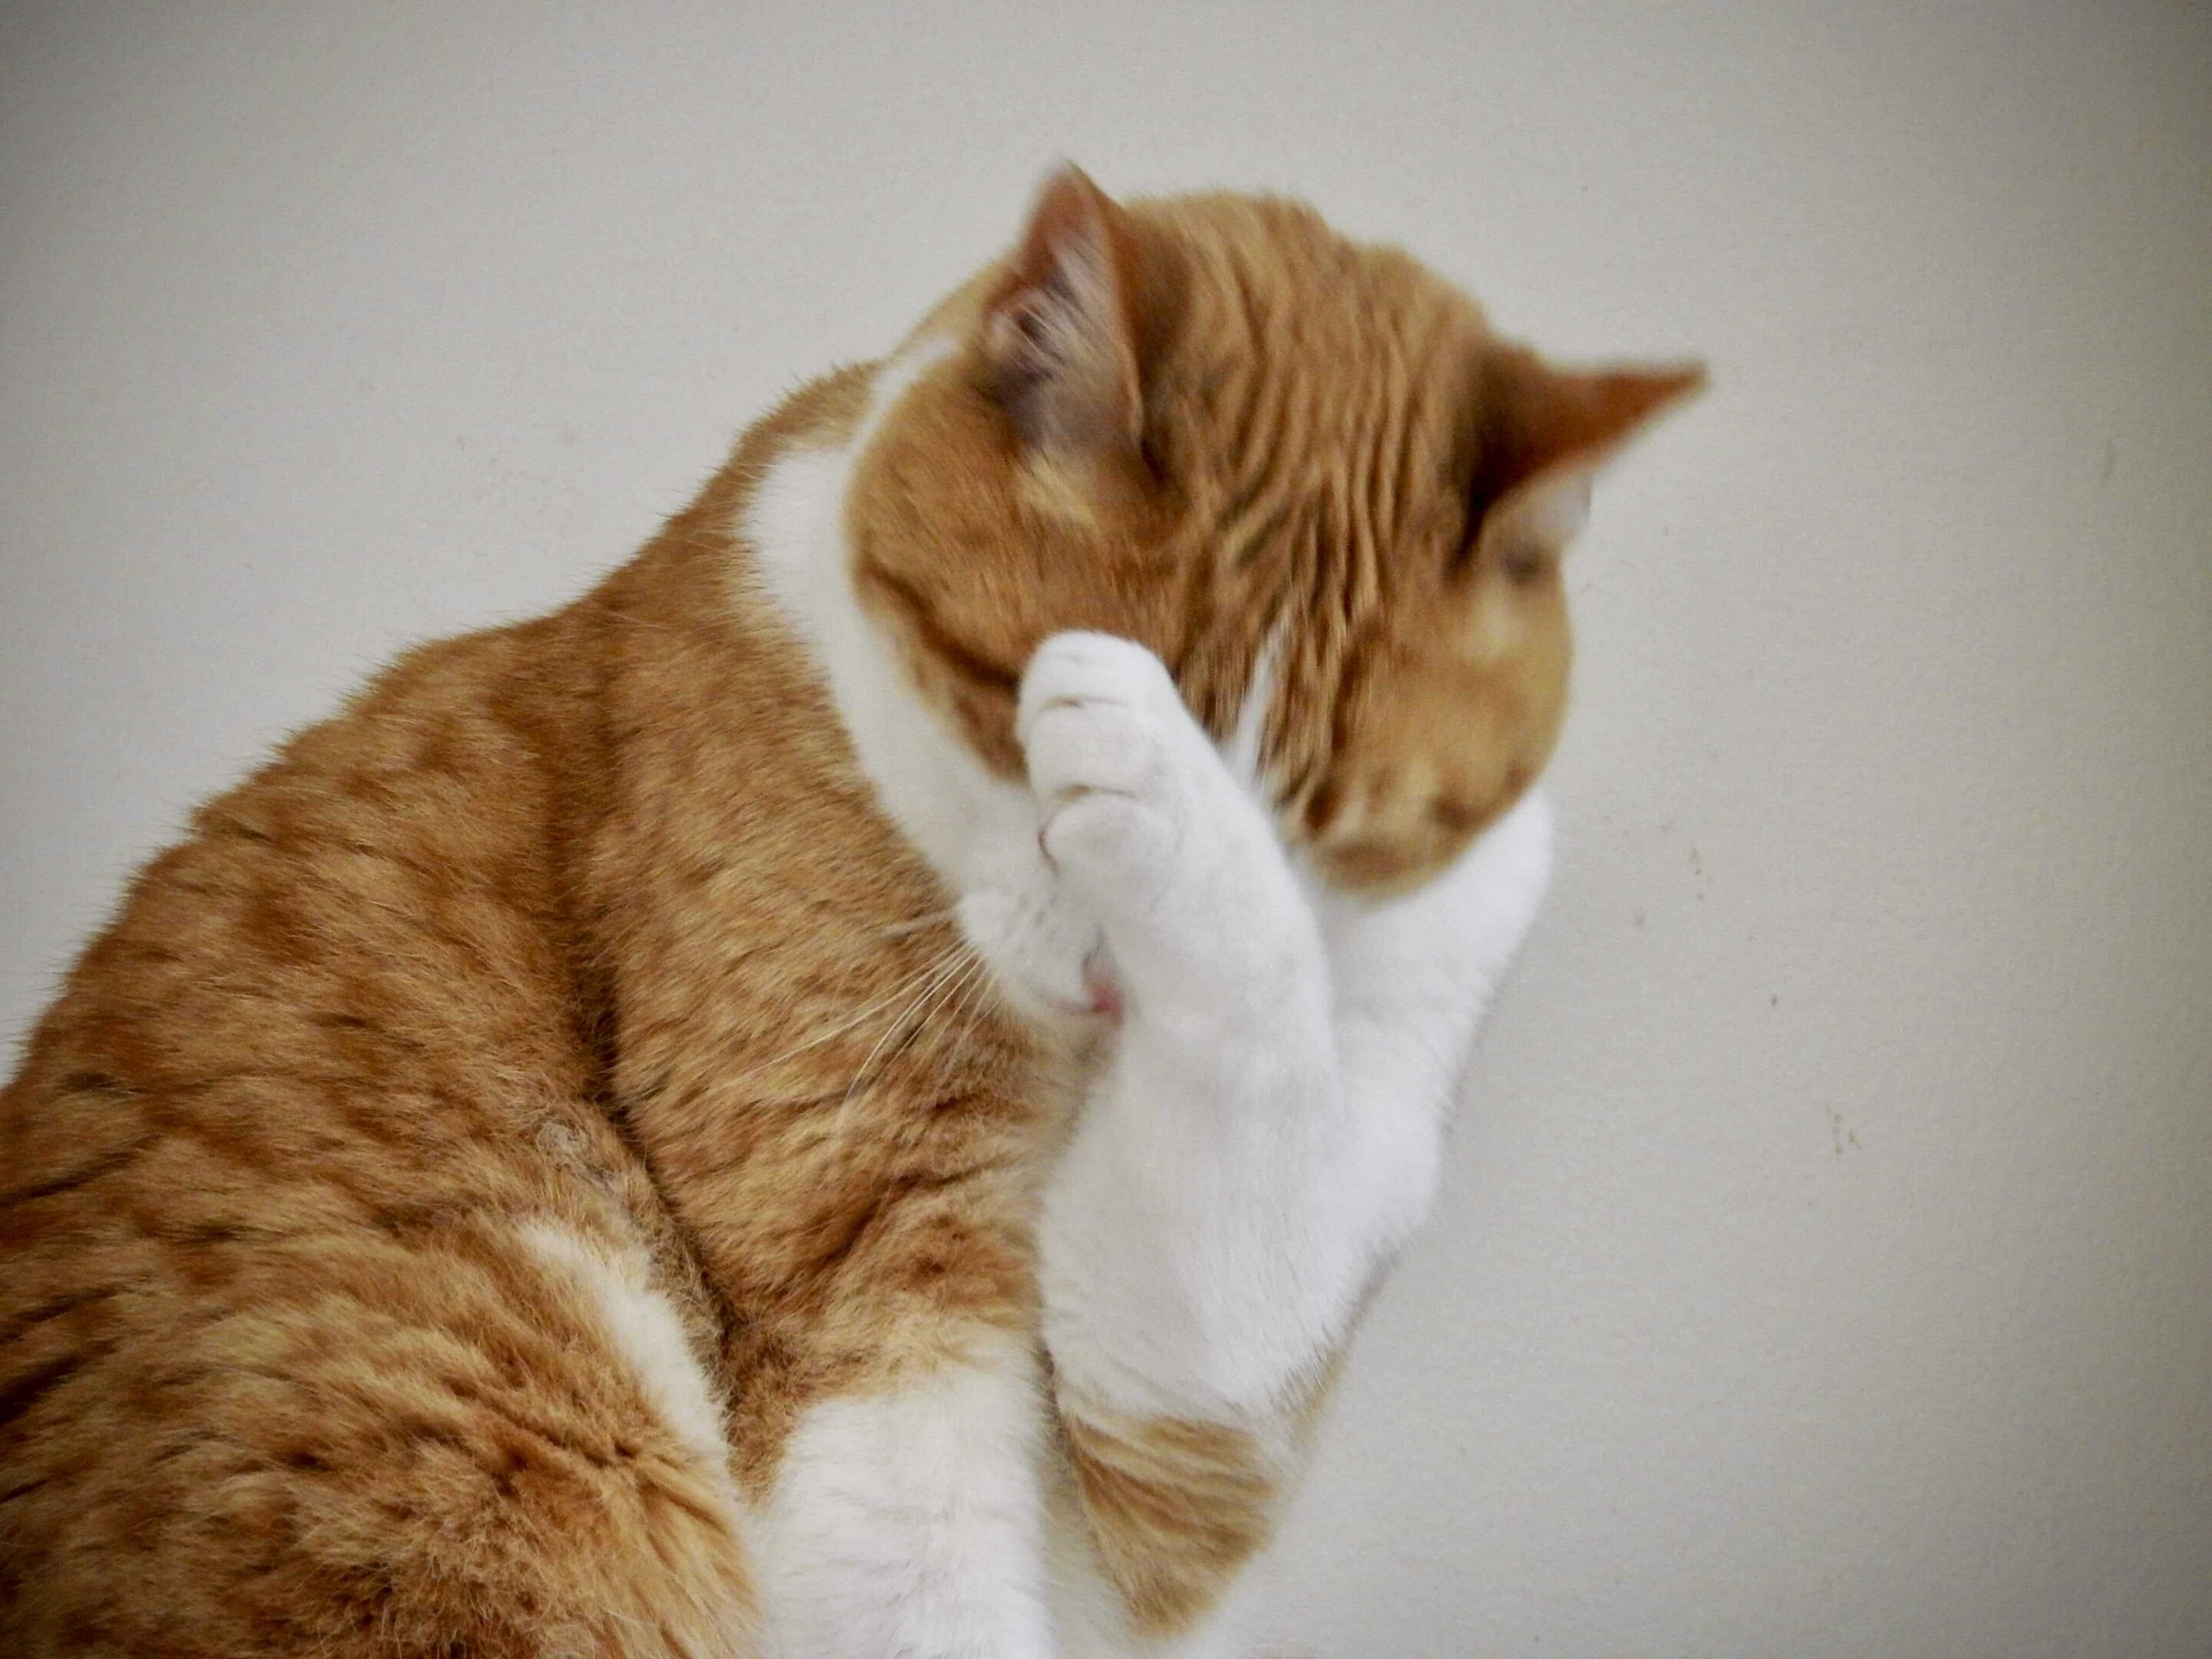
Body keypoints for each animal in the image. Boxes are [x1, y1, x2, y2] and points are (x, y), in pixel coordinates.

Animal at [0, 172, 1698, 1659]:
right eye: (1010, 707)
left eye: (1334, 830)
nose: (1112, 984)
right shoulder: (862, 1271)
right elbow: (920, 1575)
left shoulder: (1181, 1430)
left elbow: (1255, 1122)